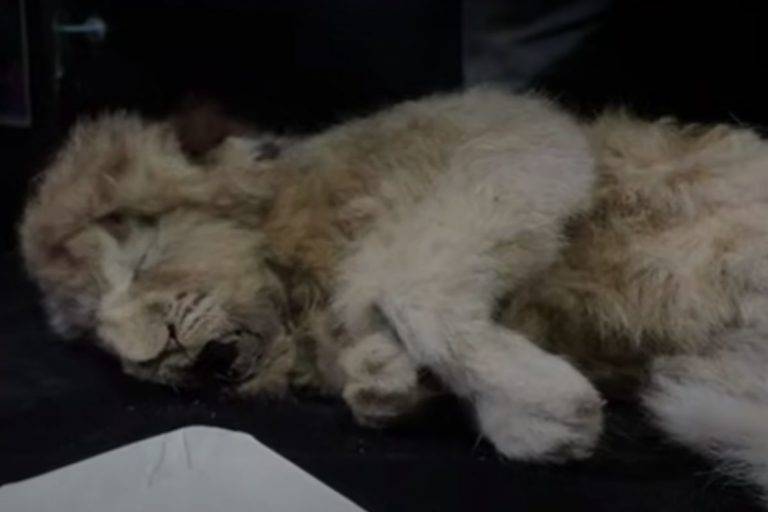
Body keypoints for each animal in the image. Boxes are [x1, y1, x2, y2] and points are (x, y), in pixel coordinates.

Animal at [19, 88, 768, 501]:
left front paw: (549, 407)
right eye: (93, 333)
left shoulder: (515, 135)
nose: (149, 359)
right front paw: (394, 382)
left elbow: (408, 279)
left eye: (140, 257)